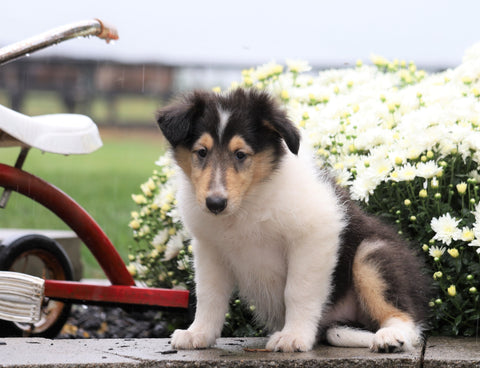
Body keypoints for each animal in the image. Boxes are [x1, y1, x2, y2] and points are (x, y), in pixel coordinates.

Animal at [156, 87, 430, 352]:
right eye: (201, 152)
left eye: (241, 154)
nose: (215, 204)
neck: (249, 202)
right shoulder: (210, 248)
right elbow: (208, 294)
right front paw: (198, 334)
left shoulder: (313, 237)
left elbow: (298, 291)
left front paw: (293, 337)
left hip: (371, 253)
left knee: (407, 319)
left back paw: (390, 338)